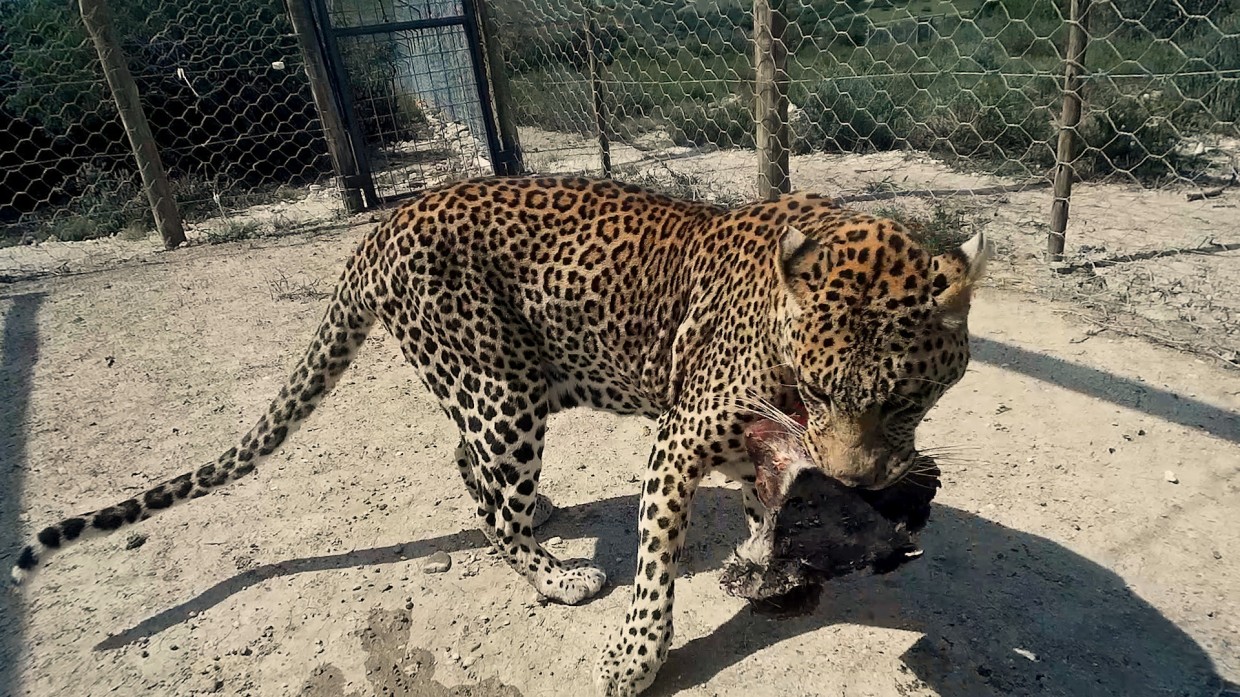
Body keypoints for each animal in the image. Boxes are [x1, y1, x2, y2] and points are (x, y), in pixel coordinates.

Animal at [9, 172, 992, 689]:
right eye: (818, 389)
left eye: (905, 400)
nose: (860, 485)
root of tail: (381, 228)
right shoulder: (679, 440)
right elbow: (656, 566)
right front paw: (634, 657)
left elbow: (766, 513)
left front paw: (770, 567)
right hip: (499, 392)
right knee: (490, 501)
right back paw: (555, 574)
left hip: (512, 384)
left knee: (468, 465)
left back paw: (548, 520)